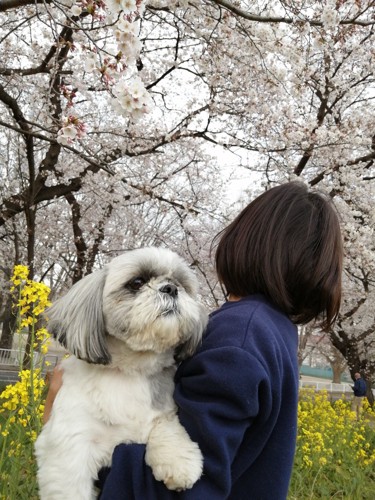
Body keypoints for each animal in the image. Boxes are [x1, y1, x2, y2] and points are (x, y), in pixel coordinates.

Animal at [35, 247, 209, 500]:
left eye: (182, 285)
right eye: (137, 282)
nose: (171, 288)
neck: (130, 370)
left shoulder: (163, 411)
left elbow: (167, 425)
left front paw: (178, 460)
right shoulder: (73, 445)